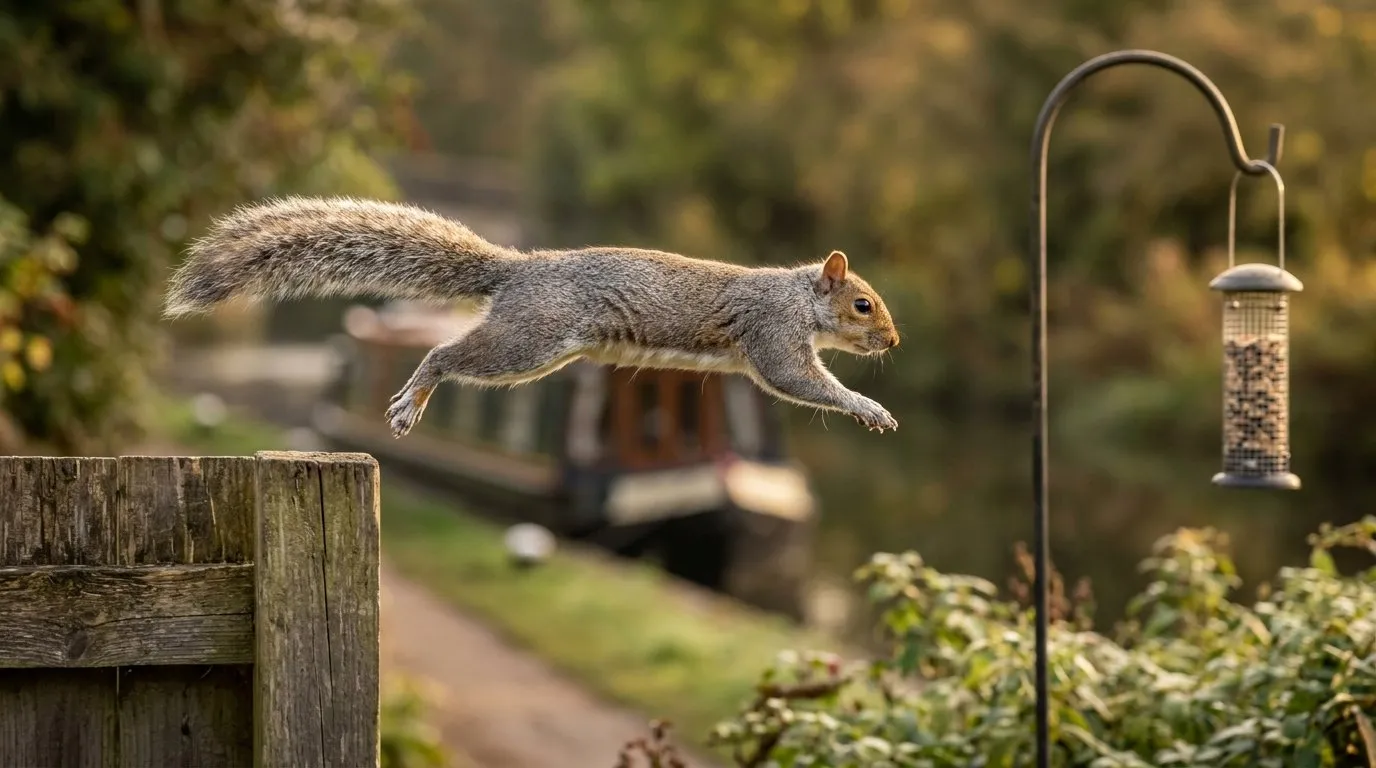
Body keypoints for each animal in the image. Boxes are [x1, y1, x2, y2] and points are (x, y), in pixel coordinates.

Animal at [163, 196, 901, 437]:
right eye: (862, 303)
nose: (894, 340)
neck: (798, 296)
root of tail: (520, 270)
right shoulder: (772, 334)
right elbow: (799, 381)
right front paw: (869, 406)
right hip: (529, 341)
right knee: (442, 355)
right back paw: (410, 402)